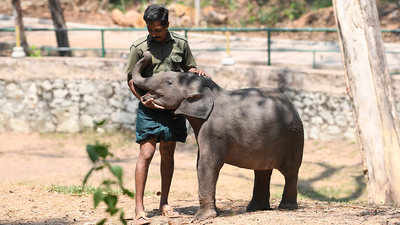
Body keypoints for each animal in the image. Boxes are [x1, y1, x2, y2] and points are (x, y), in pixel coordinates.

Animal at [130, 53, 304, 221]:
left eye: (169, 82)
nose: (146, 54)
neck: (211, 91)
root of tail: (293, 106)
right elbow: (200, 163)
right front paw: (215, 213)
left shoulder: (214, 130)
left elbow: (206, 164)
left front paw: (200, 218)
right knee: (262, 171)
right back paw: (255, 208)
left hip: (293, 138)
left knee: (290, 171)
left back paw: (286, 207)